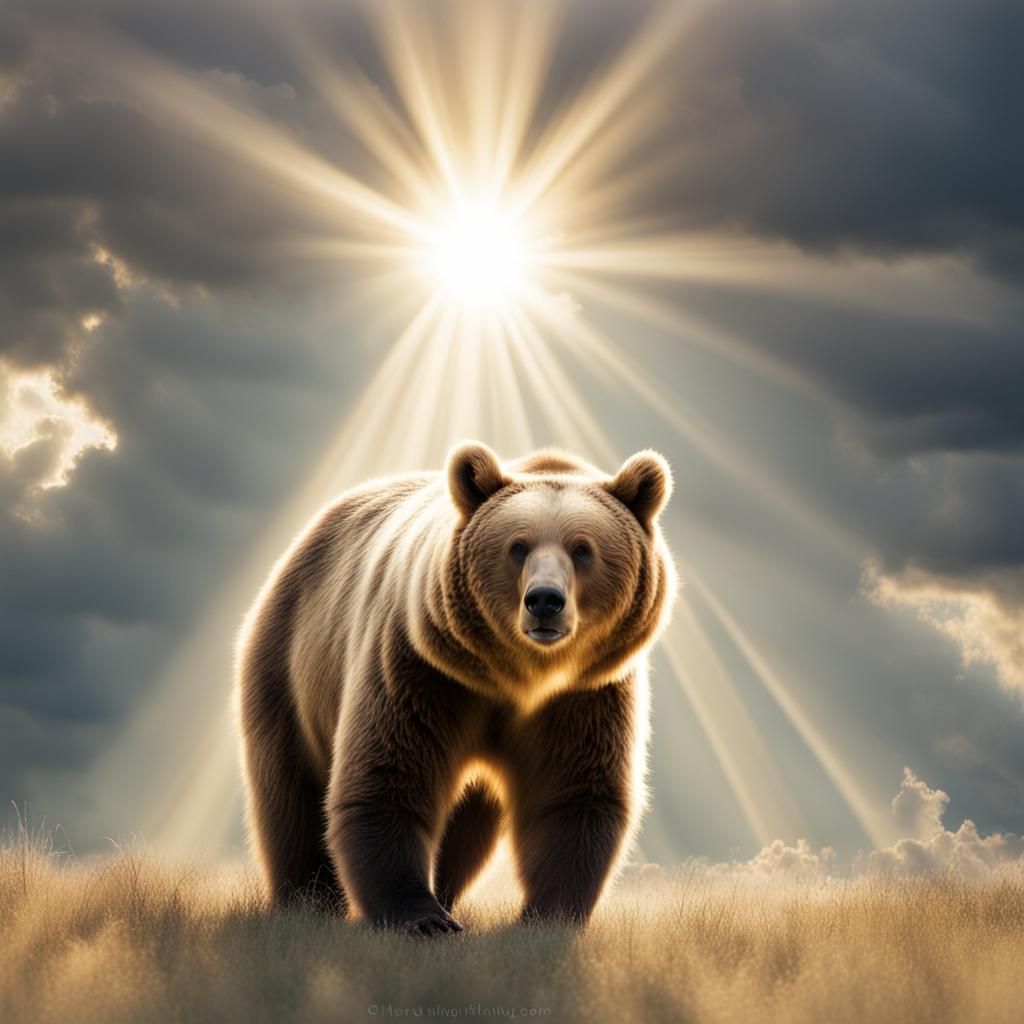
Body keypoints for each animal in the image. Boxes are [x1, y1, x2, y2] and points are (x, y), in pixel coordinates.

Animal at [236, 441, 676, 935]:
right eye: (518, 546)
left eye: (582, 549)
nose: (544, 600)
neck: (516, 676)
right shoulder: (420, 667)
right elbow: (389, 776)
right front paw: (424, 917)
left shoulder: (585, 693)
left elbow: (574, 793)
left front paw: (546, 915)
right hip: (289, 665)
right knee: (290, 794)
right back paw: (306, 900)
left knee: (467, 828)